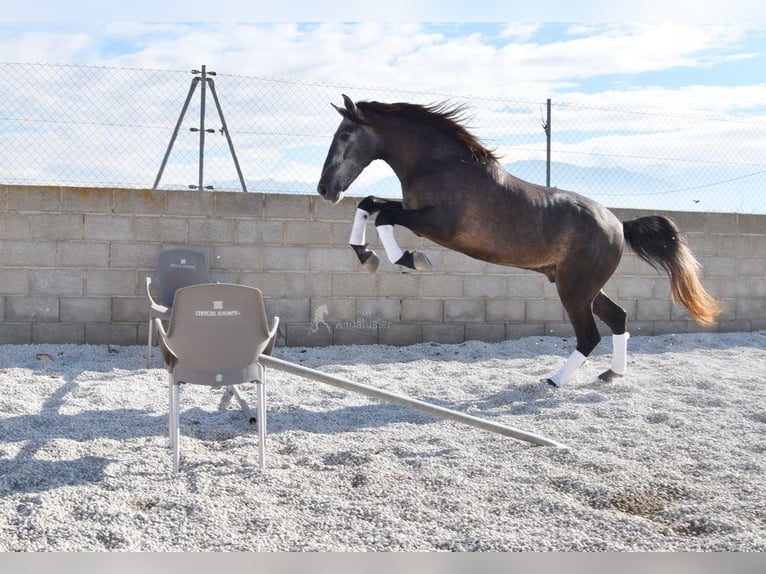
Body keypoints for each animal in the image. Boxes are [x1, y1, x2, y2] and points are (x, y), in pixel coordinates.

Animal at [317, 95, 722, 387]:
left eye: (345, 135)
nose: (325, 190)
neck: (441, 163)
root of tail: (618, 226)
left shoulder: (438, 224)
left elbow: (384, 215)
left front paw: (407, 259)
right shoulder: (416, 213)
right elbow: (369, 204)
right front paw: (365, 255)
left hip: (575, 289)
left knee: (590, 335)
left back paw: (555, 381)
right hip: (582, 285)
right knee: (618, 318)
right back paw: (611, 375)